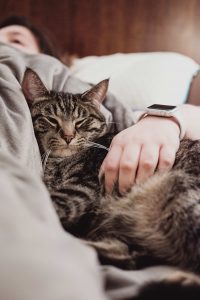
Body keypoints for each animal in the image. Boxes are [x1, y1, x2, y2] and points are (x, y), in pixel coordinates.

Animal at [22, 68, 200, 278]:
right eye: (51, 119)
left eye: (81, 121)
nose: (68, 136)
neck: (57, 163)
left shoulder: (81, 188)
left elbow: (51, 202)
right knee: (127, 255)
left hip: (181, 192)